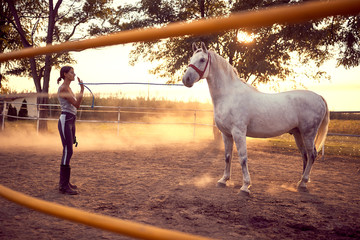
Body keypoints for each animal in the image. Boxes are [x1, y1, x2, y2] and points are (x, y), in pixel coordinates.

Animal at [183, 41, 330, 195]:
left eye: (202, 60)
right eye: (191, 59)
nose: (186, 79)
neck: (229, 95)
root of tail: (319, 97)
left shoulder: (239, 133)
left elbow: (243, 158)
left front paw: (245, 186)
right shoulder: (226, 134)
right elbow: (227, 157)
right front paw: (223, 180)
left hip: (308, 133)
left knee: (312, 154)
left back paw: (303, 182)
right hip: (298, 133)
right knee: (305, 155)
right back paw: (301, 183)